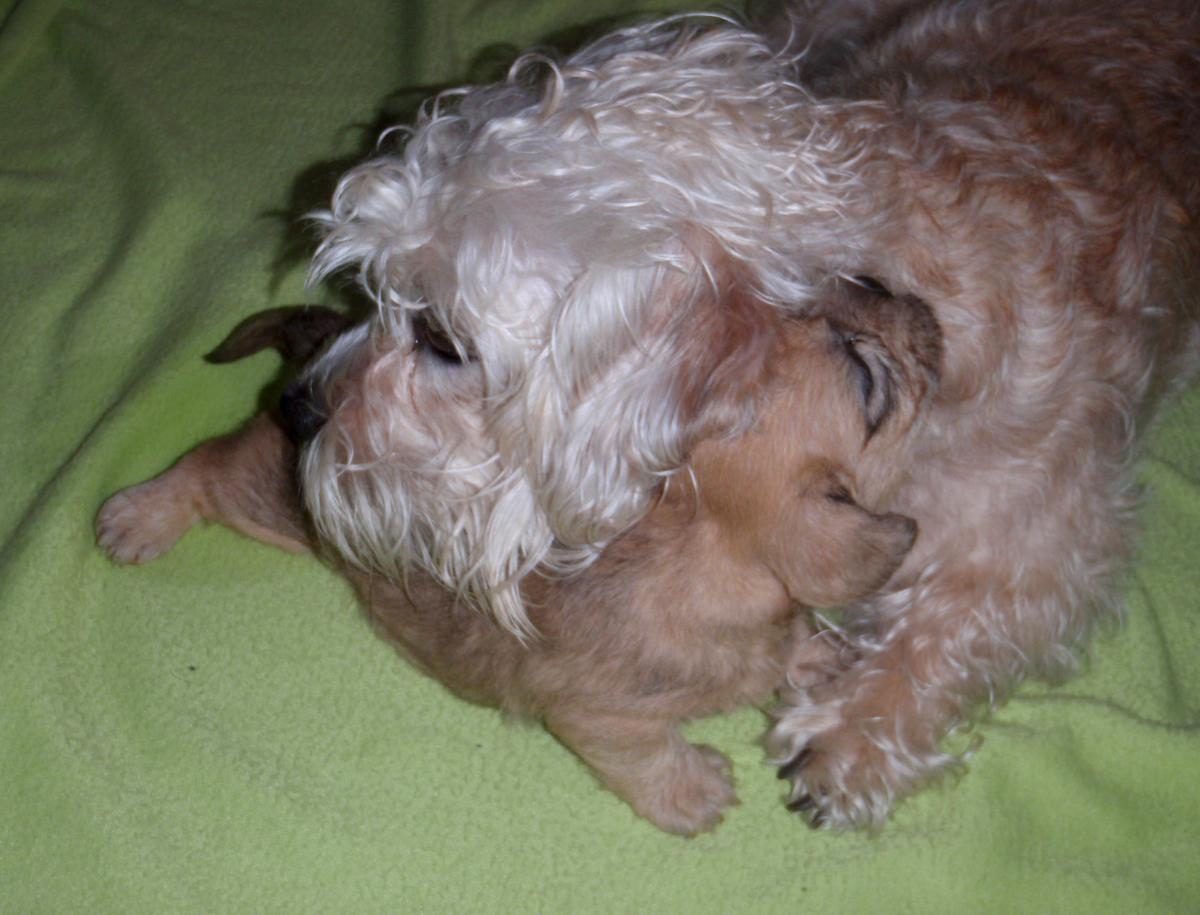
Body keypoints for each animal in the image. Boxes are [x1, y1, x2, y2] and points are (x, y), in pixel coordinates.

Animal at [97, 0, 1199, 834]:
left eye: (443, 340)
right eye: (372, 293)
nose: (298, 408)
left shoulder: (1049, 528)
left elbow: (961, 617)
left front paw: (850, 733)